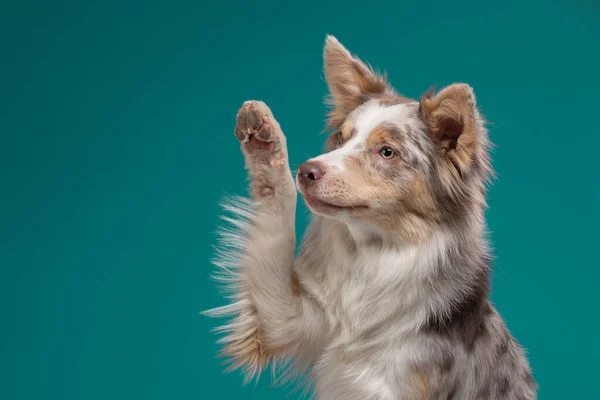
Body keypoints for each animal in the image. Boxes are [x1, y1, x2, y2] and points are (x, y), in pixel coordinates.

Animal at [205, 35, 536, 400]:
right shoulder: (288, 320)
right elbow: (274, 230)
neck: (377, 253)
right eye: (341, 138)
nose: (306, 172)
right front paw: (265, 145)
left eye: (387, 152)